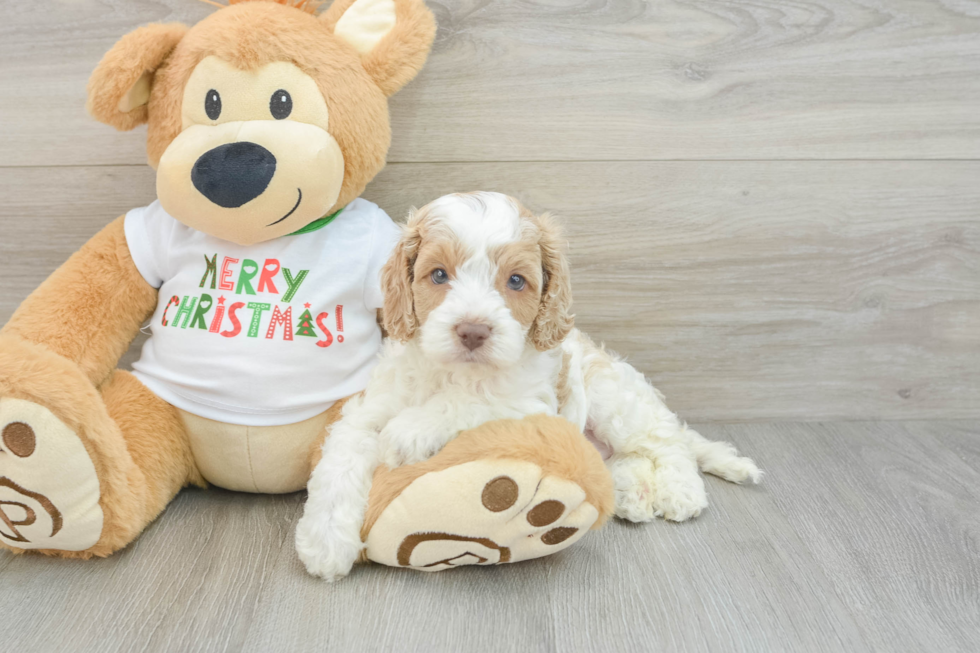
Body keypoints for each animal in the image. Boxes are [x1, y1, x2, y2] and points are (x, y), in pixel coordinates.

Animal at [294, 191, 760, 580]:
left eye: (516, 281)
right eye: (439, 275)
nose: (473, 331)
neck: (456, 371)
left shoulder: (528, 402)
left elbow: (471, 401)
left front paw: (409, 431)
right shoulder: (369, 407)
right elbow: (340, 458)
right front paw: (325, 543)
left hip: (613, 398)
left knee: (668, 442)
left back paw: (682, 492)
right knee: (630, 457)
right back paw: (633, 494)